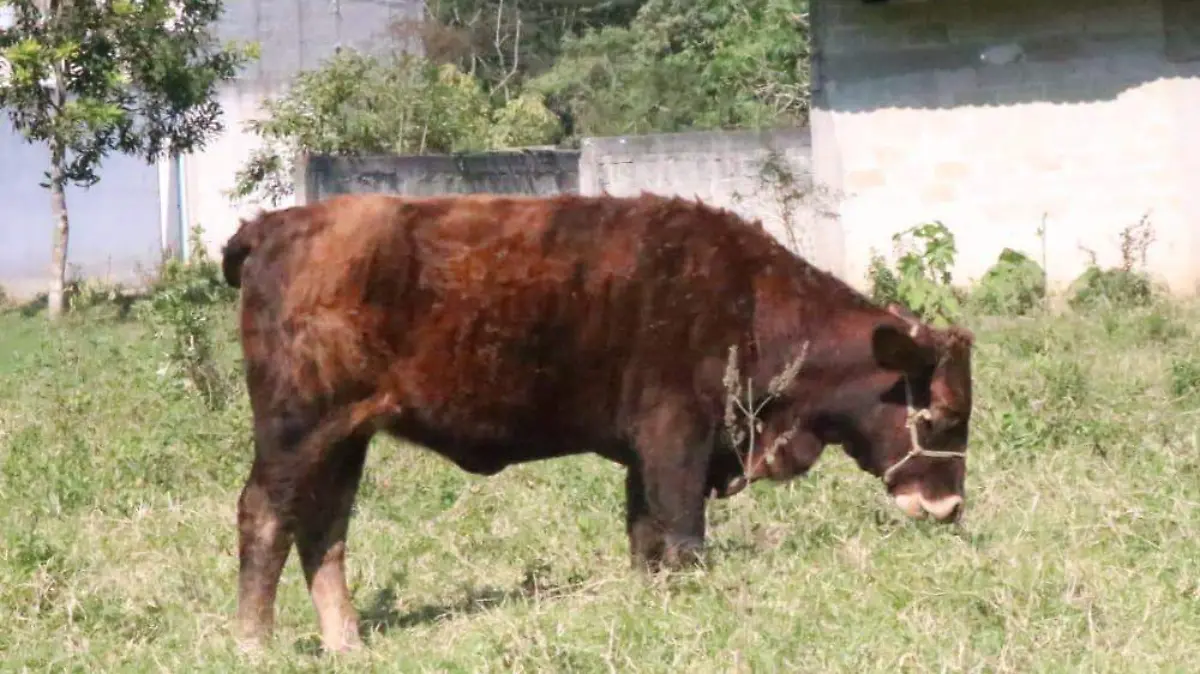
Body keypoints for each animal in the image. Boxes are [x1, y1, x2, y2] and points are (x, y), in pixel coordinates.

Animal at [220, 191, 976, 653]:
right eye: (940, 415)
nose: (947, 506)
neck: (748, 297)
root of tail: (275, 226)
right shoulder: (676, 442)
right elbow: (683, 536)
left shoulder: (647, 457)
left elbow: (647, 539)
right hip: (297, 436)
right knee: (266, 515)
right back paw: (253, 641)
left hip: (345, 440)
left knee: (325, 531)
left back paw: (345, 640)